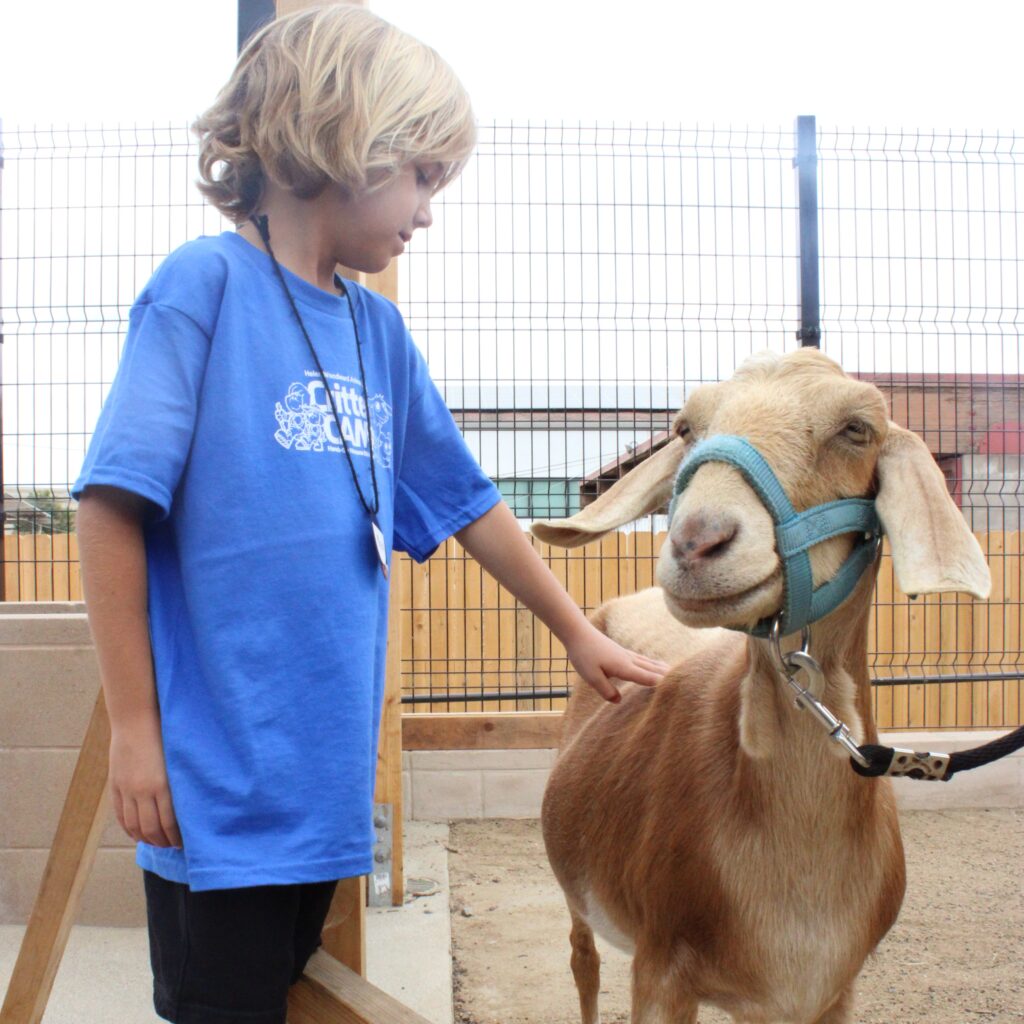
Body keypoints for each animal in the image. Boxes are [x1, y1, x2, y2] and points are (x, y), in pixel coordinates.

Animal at [531, 349, 991, 1024]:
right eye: (685, 427)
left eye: (857, 428)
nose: (697, 541)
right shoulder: (660, 968)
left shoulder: (827, 992)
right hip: (577, 887)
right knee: (581, 960)